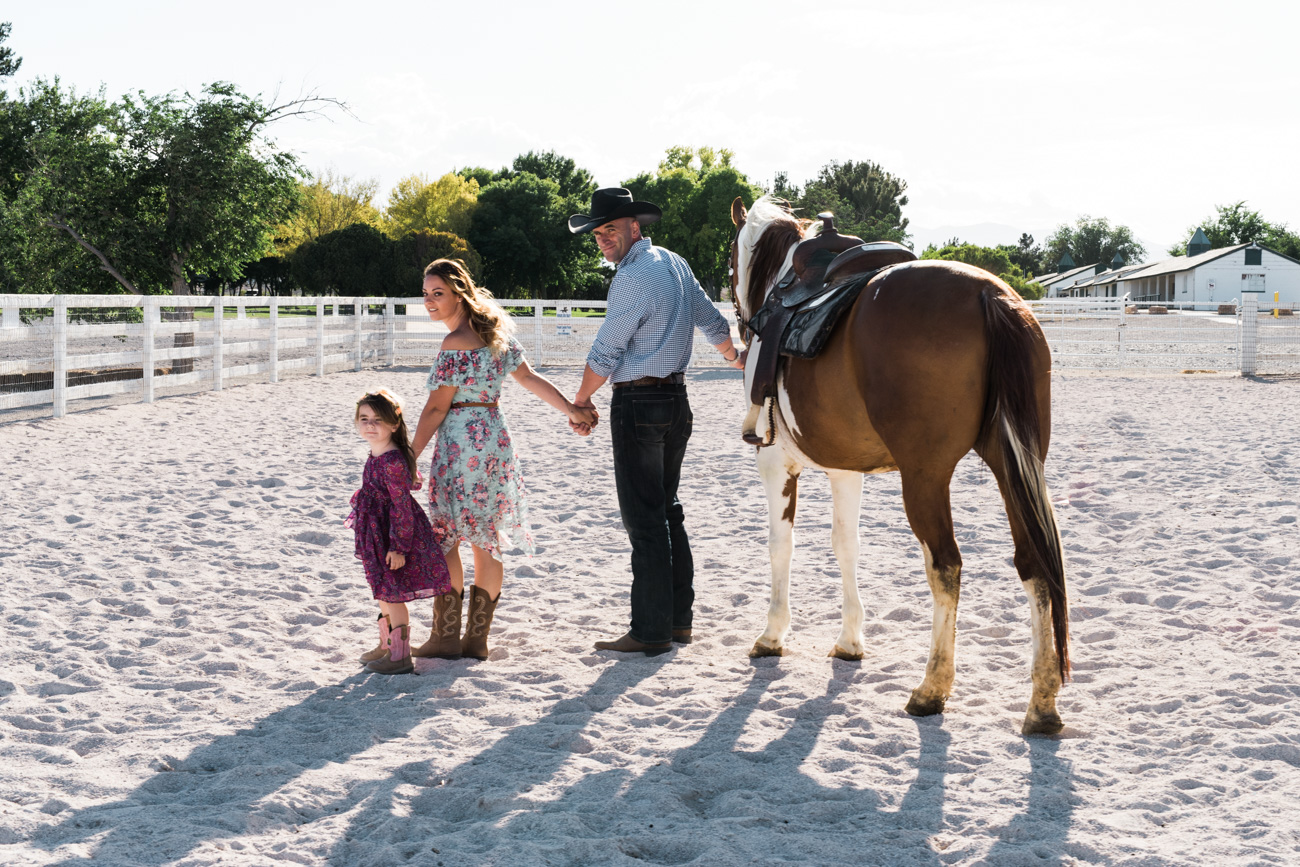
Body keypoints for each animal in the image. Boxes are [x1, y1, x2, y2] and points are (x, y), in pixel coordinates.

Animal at [728, 194, 1071, 733]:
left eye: (731, 261)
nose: (740, 321)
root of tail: (989, 295)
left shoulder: (775, 462)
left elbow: (781, 546)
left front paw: (773, 634)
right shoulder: (845, 469)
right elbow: (846, 546)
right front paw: (850, 641)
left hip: (926, 477)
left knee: (946, 566)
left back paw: (932, 688)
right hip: (1013, 463)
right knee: (1034, 564)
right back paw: (1041, 703)